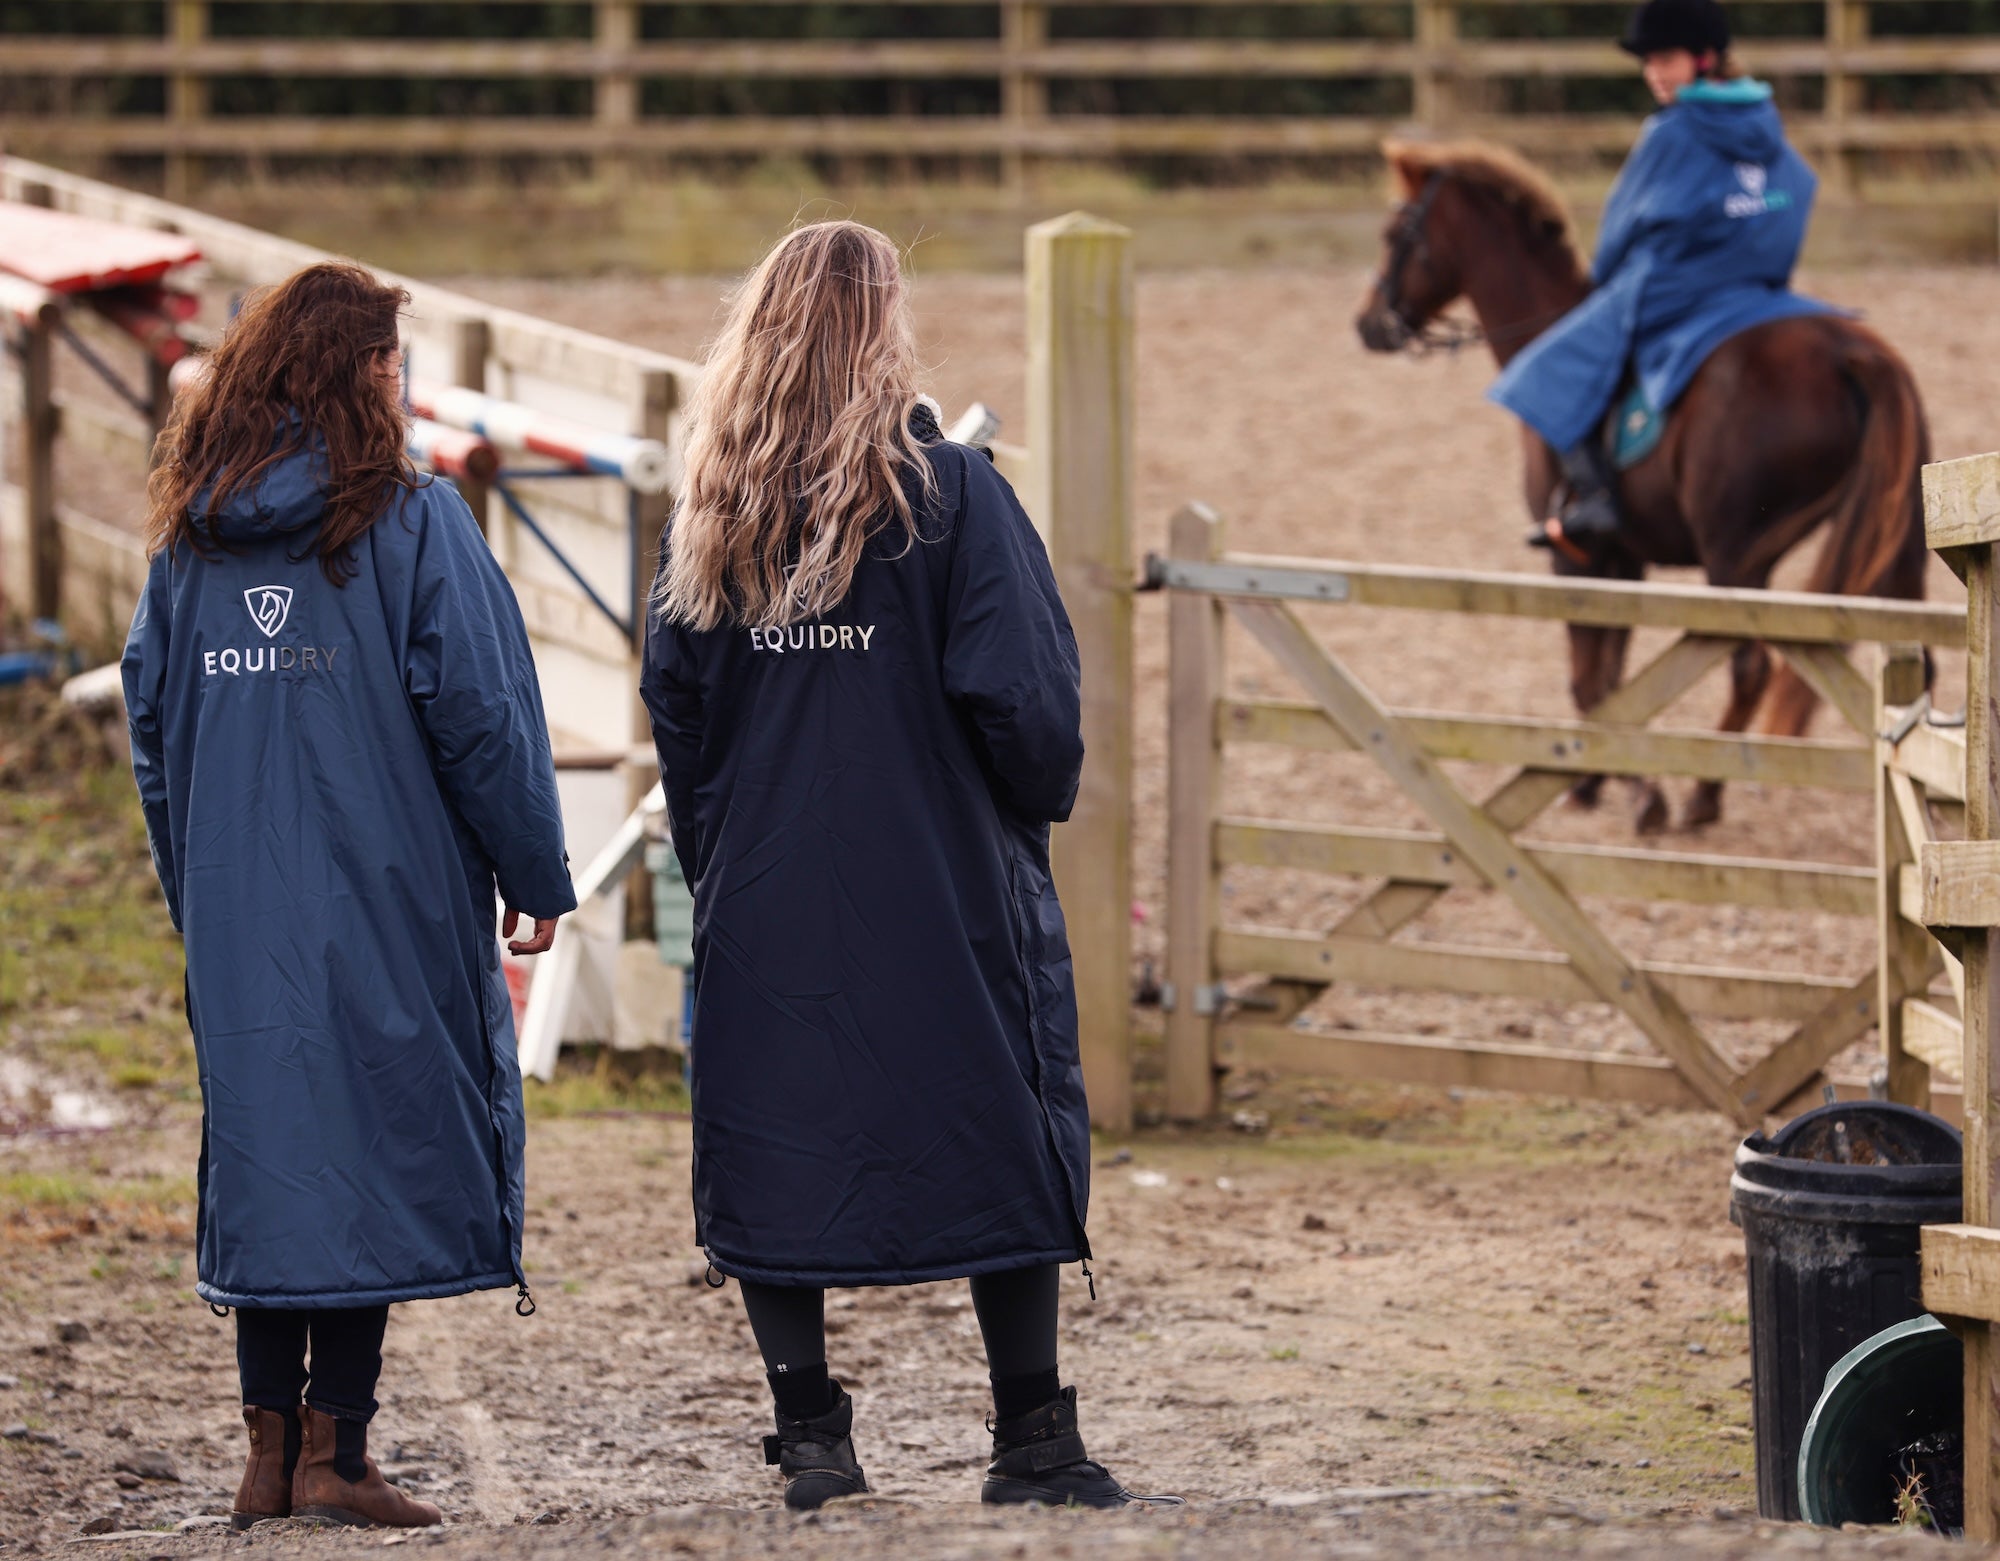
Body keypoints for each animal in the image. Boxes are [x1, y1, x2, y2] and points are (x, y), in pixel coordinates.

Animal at [1352, 140, 1928, 836]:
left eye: (1396, 233)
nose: (1368, 323)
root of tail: (1851, 352)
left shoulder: (1576, 559)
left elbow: (1591, 684)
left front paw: (1631, 791)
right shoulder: (1624, 562)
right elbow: (1614, 680)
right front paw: (1595, 779)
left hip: (1737, 560)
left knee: (1749, 669)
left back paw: (1705, 793)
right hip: (1894, 553)